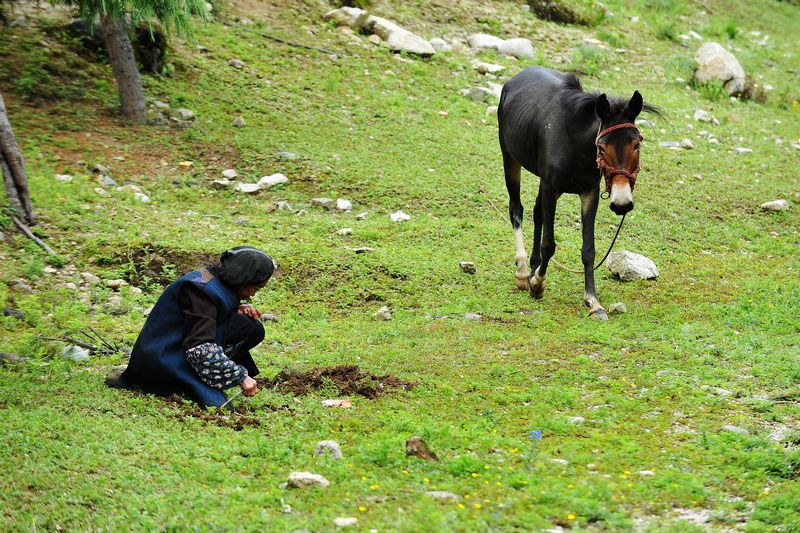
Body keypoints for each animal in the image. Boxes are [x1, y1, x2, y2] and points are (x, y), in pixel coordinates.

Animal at [500, 64, 656, 318]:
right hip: (510, 158)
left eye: (636, 144)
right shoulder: (551, 188)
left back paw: (532, 266)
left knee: (536, 212)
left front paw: (593, 300)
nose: (621, 203)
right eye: (602, 147)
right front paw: (537, 284)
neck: (576, 144)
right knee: (517, 209)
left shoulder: (589, 193)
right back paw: (524, 272)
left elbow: (589, 249)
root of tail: (521, 74)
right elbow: (549, 244)